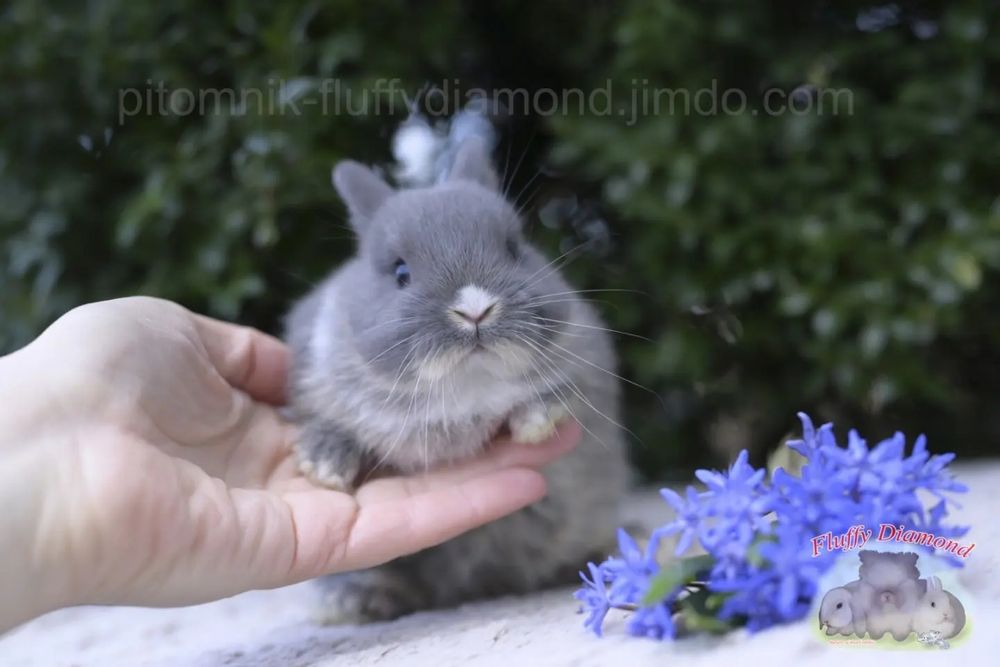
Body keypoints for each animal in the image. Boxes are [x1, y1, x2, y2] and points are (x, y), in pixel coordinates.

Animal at [284, 136, 628, 622]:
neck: (468, 386)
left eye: (513, 248)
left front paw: (534, 424)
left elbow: (558, 395)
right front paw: (324, 466)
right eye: (400, 272)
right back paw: (359, 602)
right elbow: (329, 425)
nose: (475, 309)